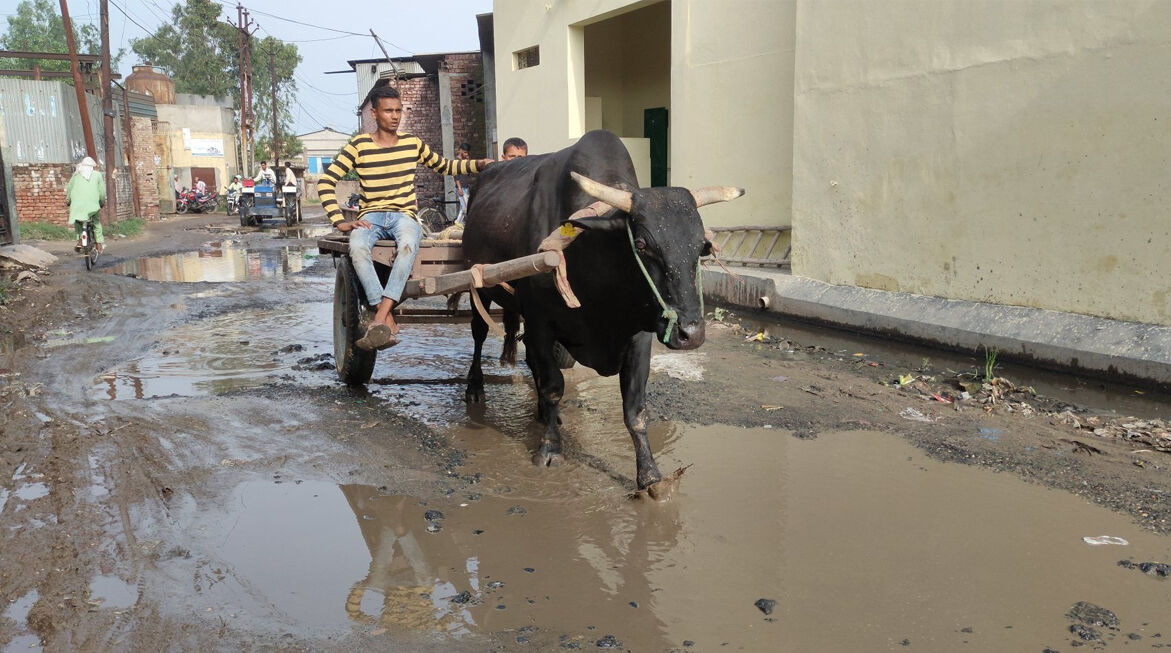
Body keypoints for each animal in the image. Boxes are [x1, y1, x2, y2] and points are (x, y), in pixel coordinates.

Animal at [463, 130, 744, 493]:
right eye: (642, 245)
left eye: (702, 249)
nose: (690, 334)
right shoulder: (541, 323)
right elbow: (553, 385)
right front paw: (550, 448)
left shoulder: (639, 335)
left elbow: (635, 408)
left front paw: (649, 475)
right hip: (478, 287)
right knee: (480, 335)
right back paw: (474, 388)